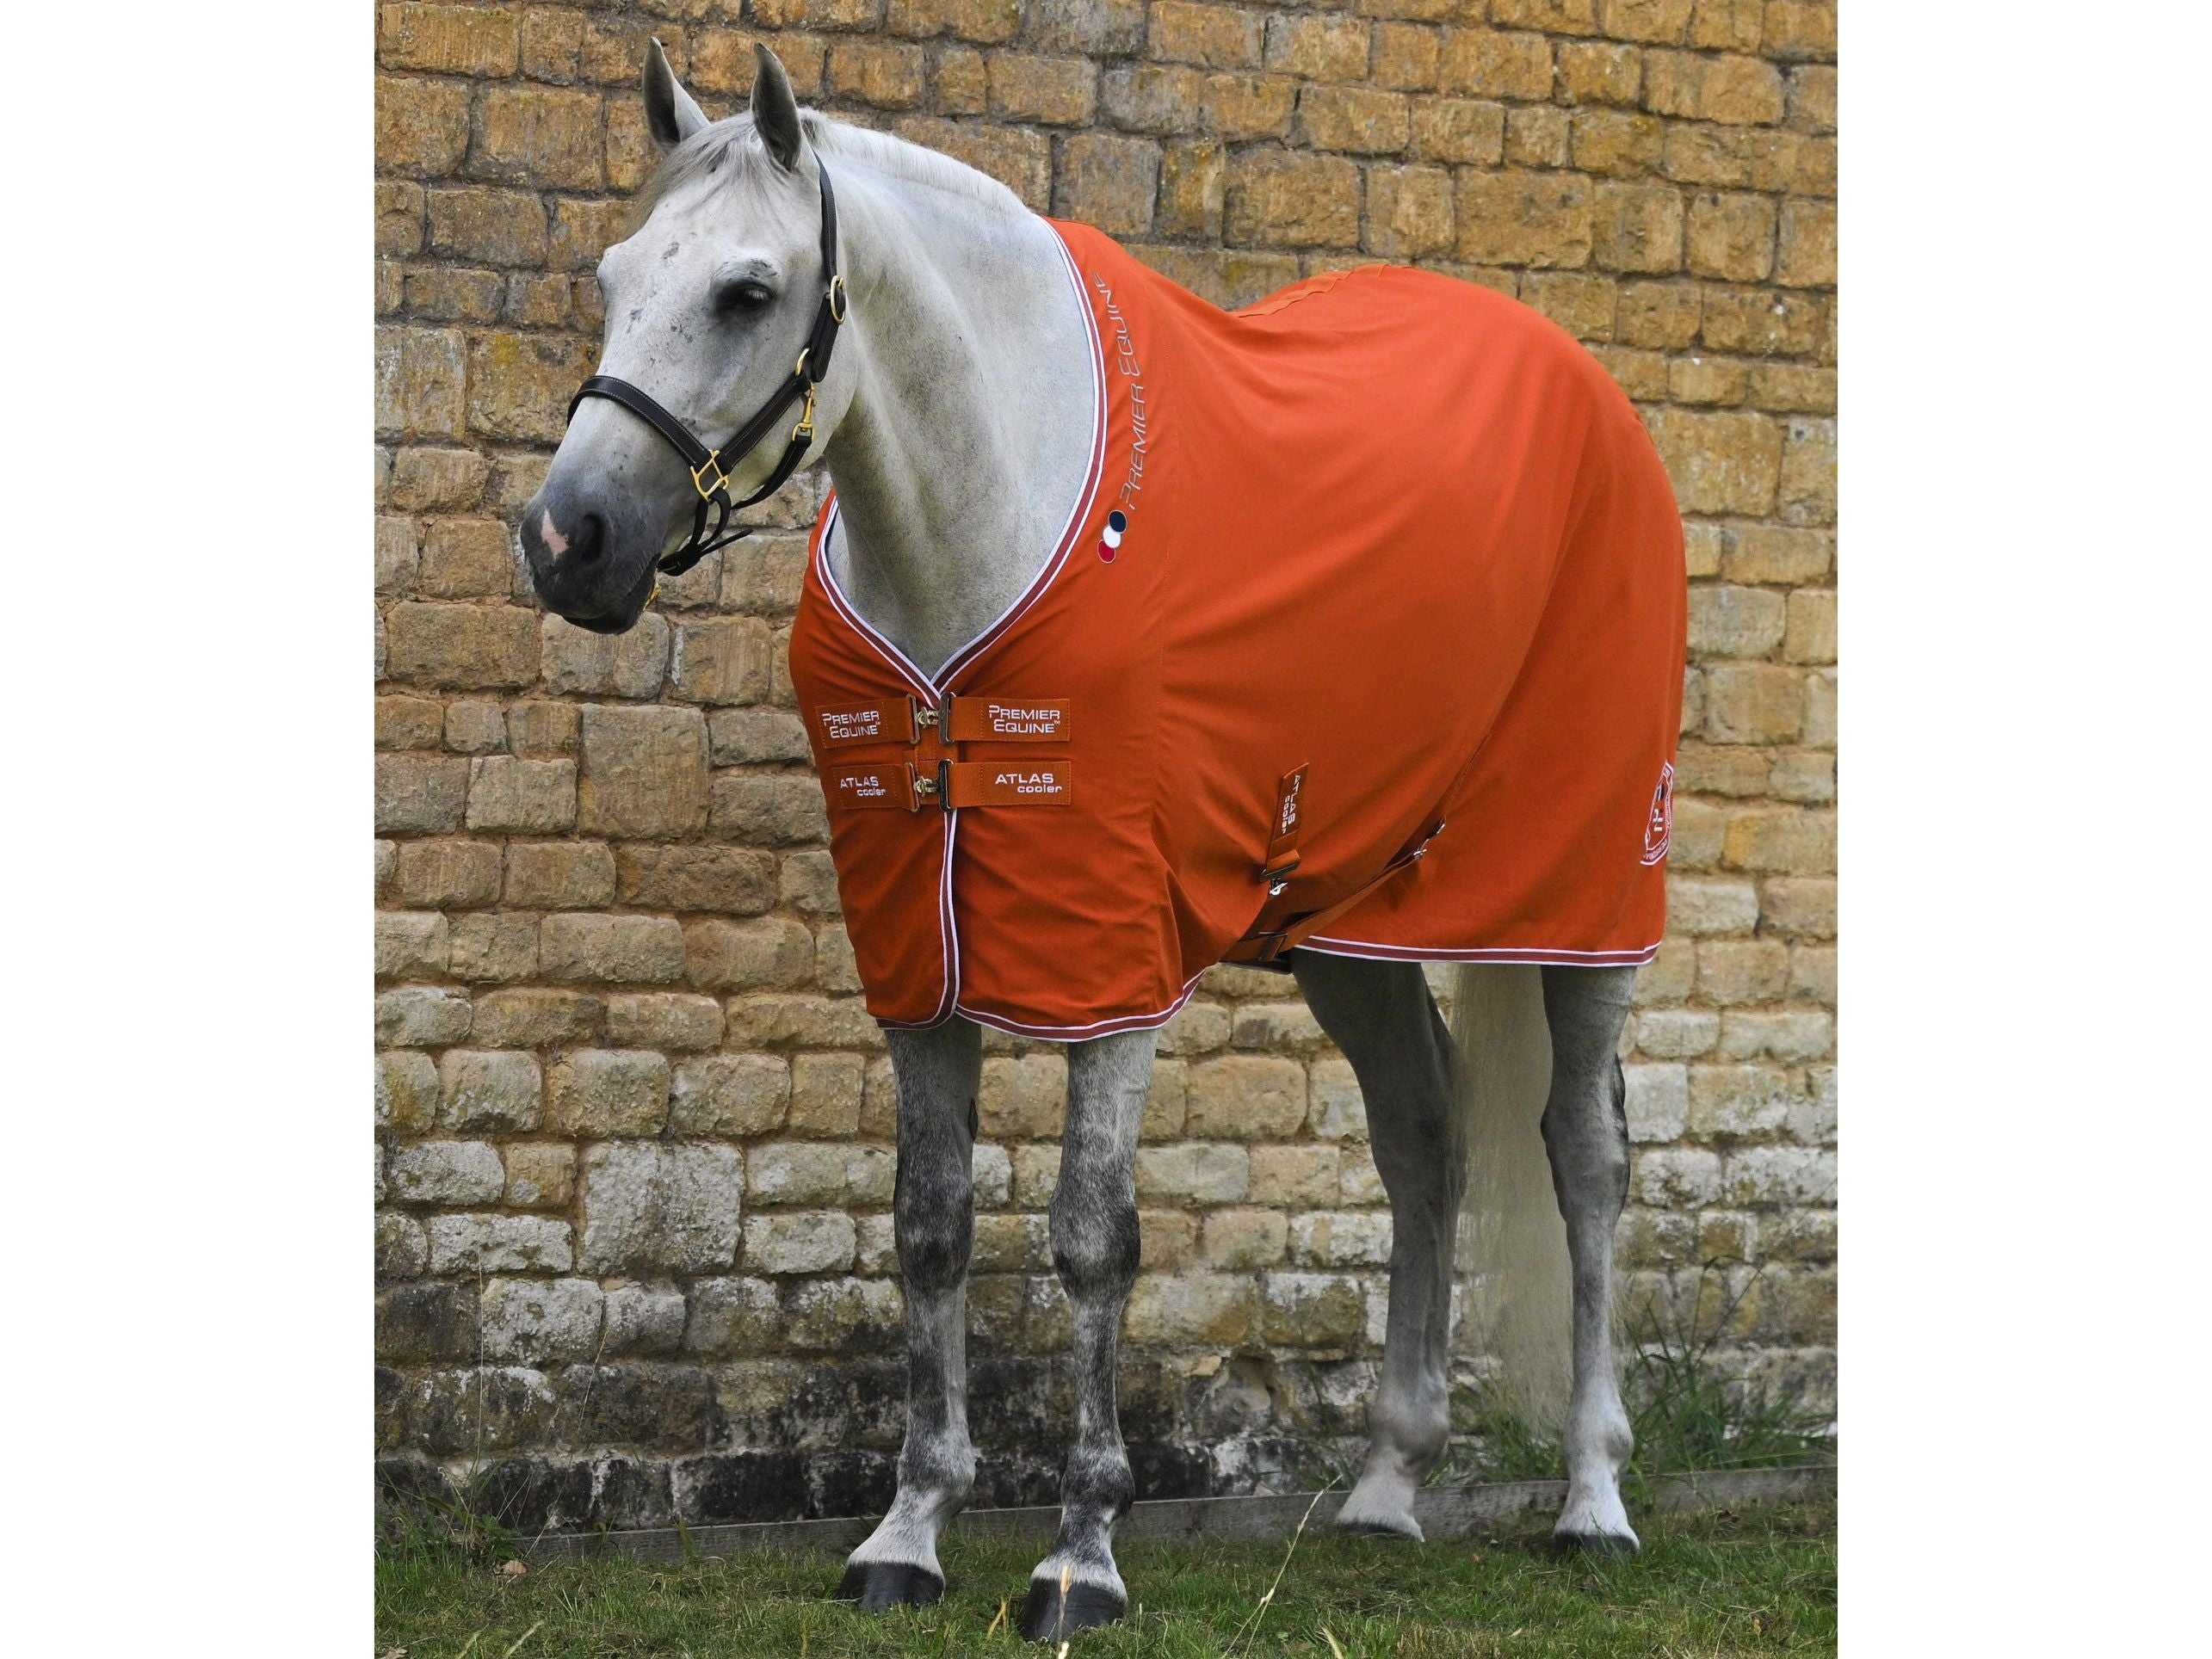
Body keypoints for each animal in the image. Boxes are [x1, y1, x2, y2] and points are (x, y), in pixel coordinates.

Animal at [520, 41, 1684, 1640]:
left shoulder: (1112, 957)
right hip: (1347, 930)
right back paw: (1388, 1487)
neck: (987, 530)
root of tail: (1594, 399)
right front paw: (909, 1531)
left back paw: (1594, 1500)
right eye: (615, 275)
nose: (565, 539)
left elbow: (1092, 1237)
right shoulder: (917, 949)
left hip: (1588, 904)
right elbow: (931, 1224)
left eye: (749, 292)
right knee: (1422, 1134)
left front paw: (1080, 1553)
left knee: (1586, 1159)